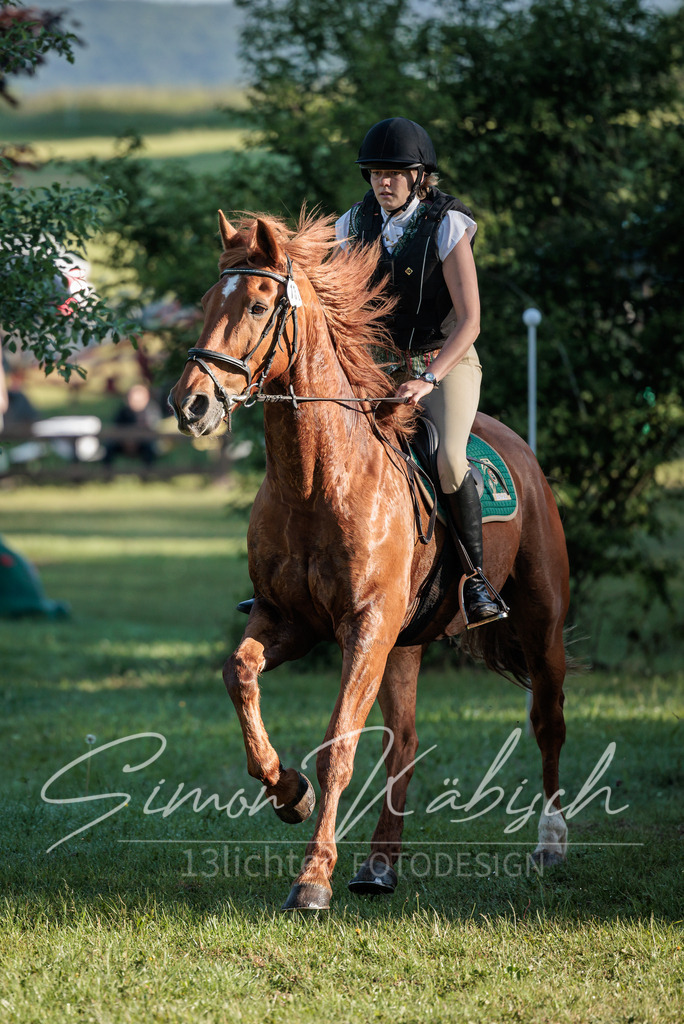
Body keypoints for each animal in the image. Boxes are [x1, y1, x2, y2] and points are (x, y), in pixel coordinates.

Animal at [169, 209, 570, 911]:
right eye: (205, 302)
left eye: (257, 304)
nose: (188, 404)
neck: (314, 481)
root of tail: (517, 447)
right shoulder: (288, 620)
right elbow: (240, 674)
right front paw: (288, 793)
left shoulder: (365, 626)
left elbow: (338, 748)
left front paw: (312, 878)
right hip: (403, 643)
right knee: (404, 744)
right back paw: (379, 867)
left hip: (537, 621)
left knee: (547, 721)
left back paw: (549, 843)